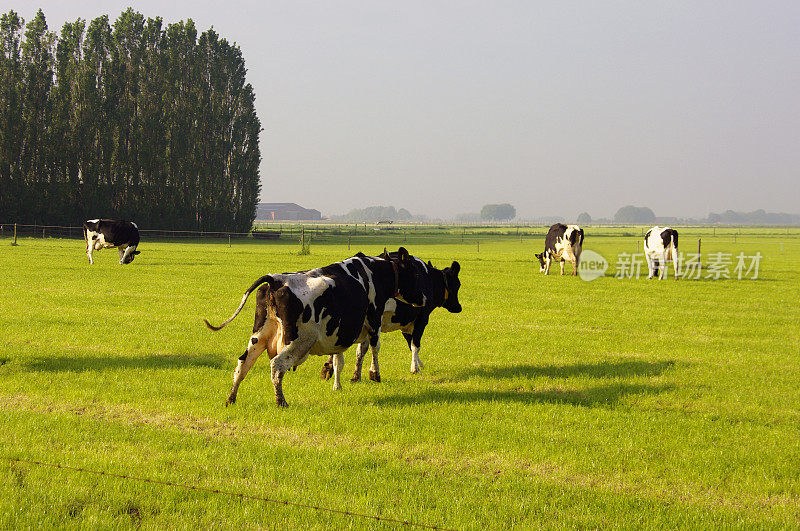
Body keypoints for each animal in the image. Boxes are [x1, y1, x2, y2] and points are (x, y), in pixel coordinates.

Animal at [202, 248, 424, 408]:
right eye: (415, 272)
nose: (424, 299)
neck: (374, 272)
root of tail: (276, 280)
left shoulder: (338, 335)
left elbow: (338, 360)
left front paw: (337, 384)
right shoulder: (374, 319)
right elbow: (375, 348)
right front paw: (374, 374)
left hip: (259, 337)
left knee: (242, 364)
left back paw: (231, 399)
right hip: (298, 341)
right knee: (277, 365)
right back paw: (281, 402)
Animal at [320, 255, 462, 384]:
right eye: (458, 284)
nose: (458, 307)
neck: (429, 280)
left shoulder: (401, 324)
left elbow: (363, 350)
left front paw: (356, 376)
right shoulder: (421, 319)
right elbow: (415, 345)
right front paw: (415, 368)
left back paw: (328, 369)